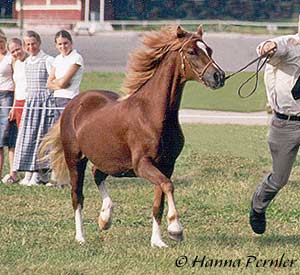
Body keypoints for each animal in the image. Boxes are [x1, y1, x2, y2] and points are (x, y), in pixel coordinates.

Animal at [41, 25, 226, 249]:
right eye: (191, 51)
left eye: (209, 50)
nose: (218, 76)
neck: (152, 114)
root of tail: (74, 104)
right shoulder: (142, 165)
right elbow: (168, 185)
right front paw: (175, 229)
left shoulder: (166, 165)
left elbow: (158, 203)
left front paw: (158, 241)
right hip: (75, 160)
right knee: (77, 196)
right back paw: (81, 237)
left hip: (109, 161)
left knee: (97, 174)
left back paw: (105, 218)